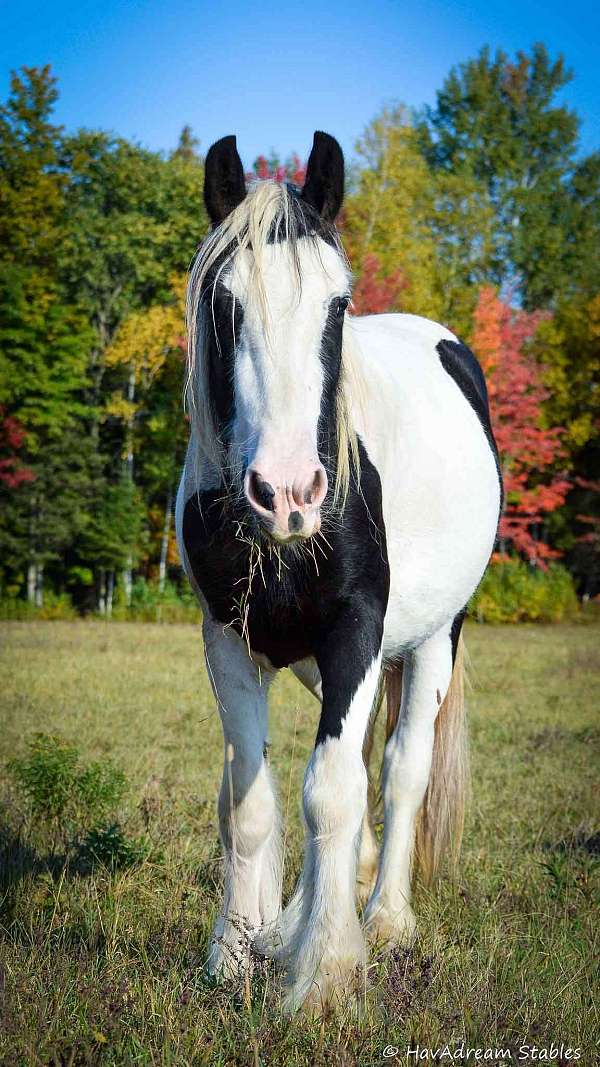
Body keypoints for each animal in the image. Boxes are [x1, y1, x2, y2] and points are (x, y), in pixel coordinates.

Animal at [175, 131, 502, 1013]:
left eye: (337, 306)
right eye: (224, 306)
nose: (287, 493)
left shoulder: (356, 627)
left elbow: (334, 788)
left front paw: (323, 973)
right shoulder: (228, 639)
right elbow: (248, 800)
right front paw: (238, 951)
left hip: (433, 641)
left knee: (397, 771)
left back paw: (383, 917)